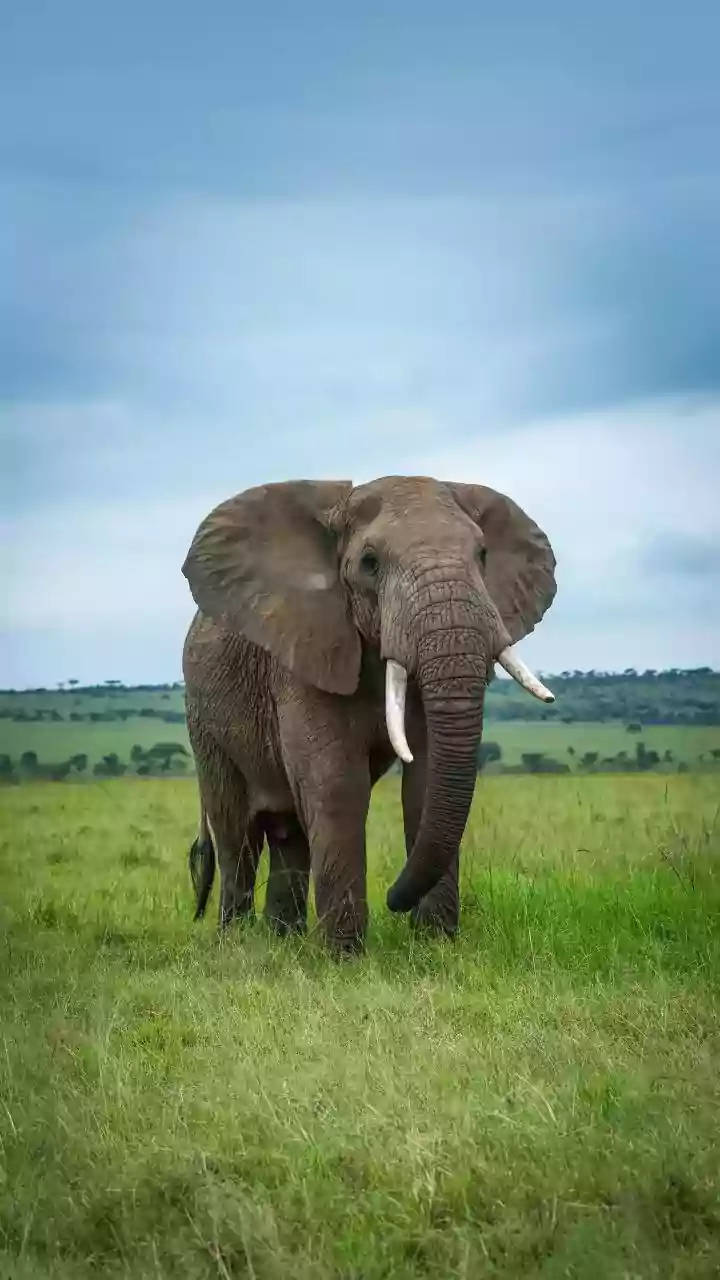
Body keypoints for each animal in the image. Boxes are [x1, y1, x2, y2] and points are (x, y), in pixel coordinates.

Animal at [181, 474, 557, 953]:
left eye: (483, 555)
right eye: (370, 563)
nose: (394, 900)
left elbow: (426, 780)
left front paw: (434, 947)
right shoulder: (307, 650)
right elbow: (337, 784)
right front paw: (345, 957)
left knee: (289, 833)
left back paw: (284, 943)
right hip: (203, 720)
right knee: (236, 833)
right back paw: (238, 943)